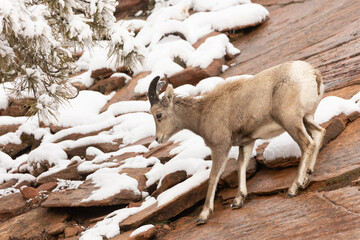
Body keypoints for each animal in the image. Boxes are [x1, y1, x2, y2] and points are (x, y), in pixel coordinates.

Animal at [147, 61, 326, 224]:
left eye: (158, 115)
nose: (158, 138)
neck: (202, 114)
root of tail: (312, 74)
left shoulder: (220, 147)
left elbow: (214, 176)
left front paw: (203, 215)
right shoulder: (246, 143)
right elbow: (241, 165)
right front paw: (238, 201)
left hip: (290, 121)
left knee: (307, 144)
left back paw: (294, 188)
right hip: (306, 118)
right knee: (319, 133)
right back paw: (306, 178)